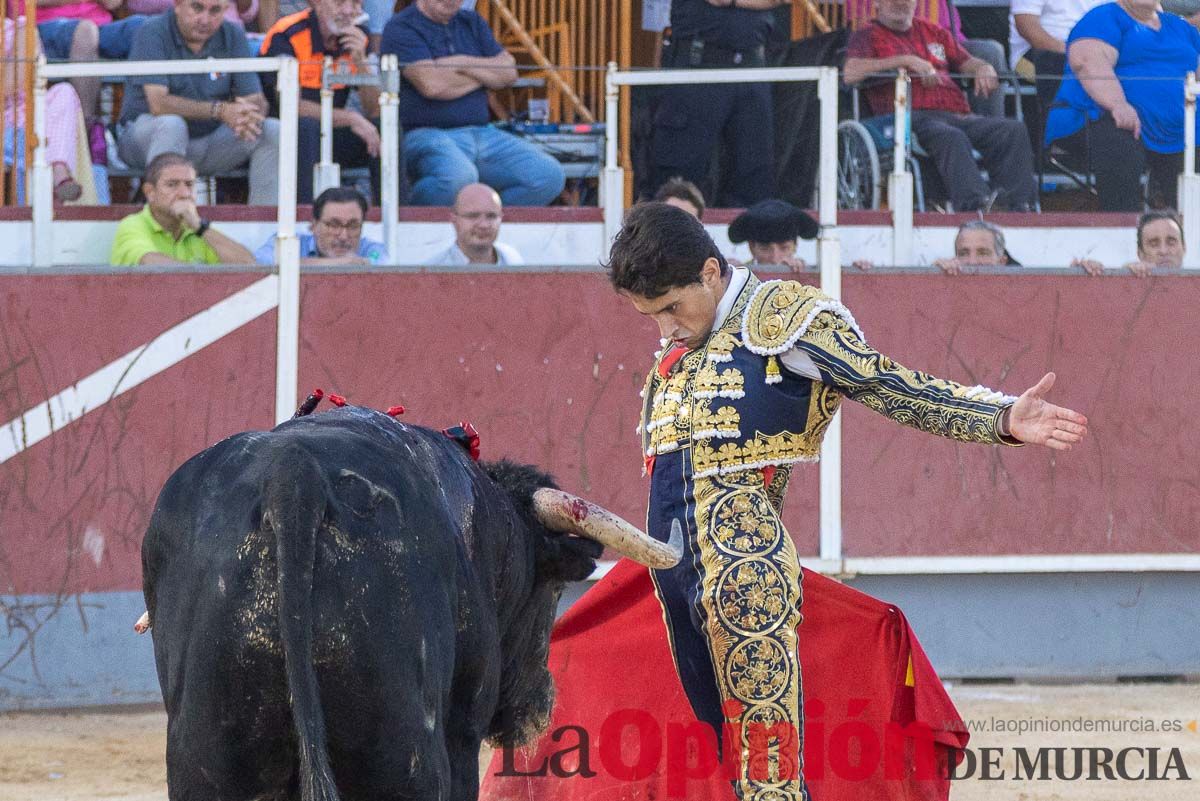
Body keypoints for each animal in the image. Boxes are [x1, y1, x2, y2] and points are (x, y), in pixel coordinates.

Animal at [141, 410, 672, 796]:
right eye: (553, 589)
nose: (540, 704)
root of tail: (293, 478)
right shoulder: (461, 728)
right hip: (404, 752)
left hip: (211, 756)